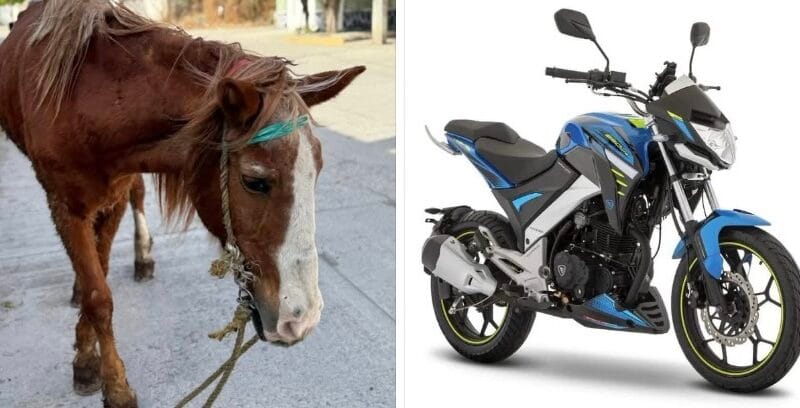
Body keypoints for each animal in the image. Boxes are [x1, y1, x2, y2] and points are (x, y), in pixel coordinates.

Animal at [0, 1, 364, 407]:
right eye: (254, 181)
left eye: (316, 171)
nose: (301, 316)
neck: (84, 97)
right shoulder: (65, 205)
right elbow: (99, 295)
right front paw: (108, 379)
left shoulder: (114, 195)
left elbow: (102, 268)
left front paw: (89, 349)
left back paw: (141, 259)